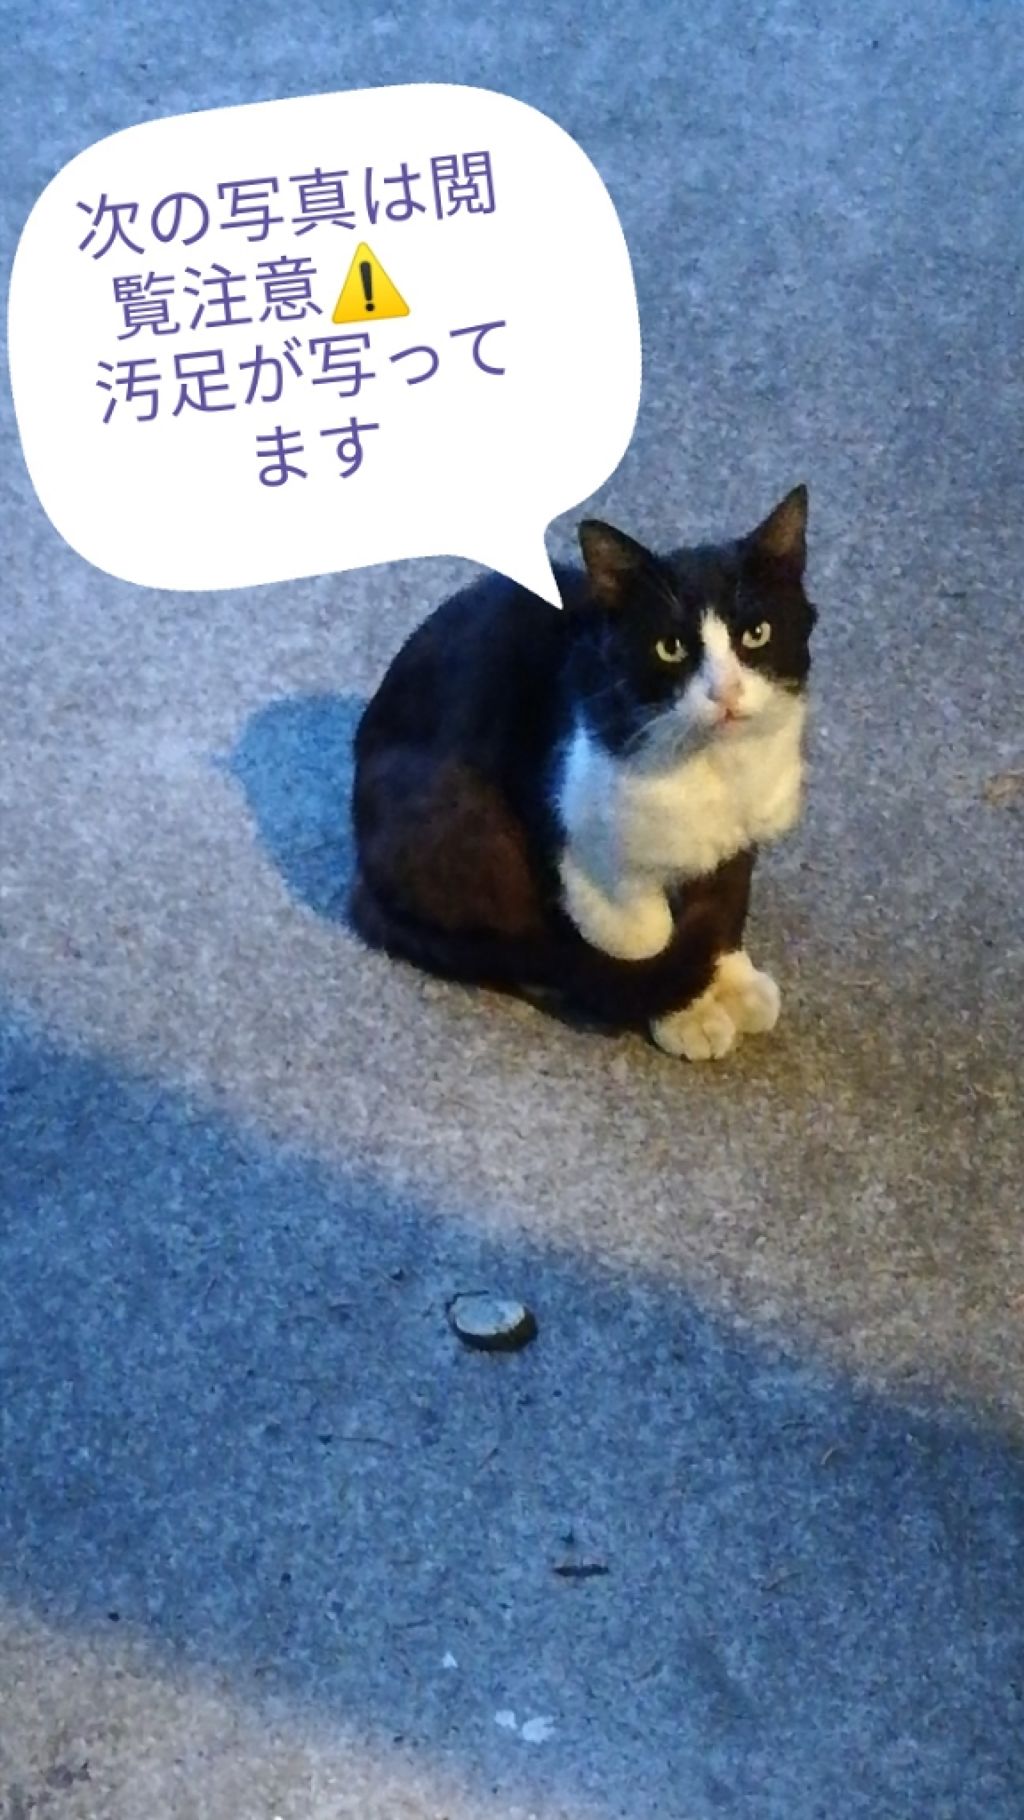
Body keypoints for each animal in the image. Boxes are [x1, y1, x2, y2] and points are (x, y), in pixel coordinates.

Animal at [350, 485, 817, 1061]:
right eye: (671, 648)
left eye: (757, 633)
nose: (725, 692)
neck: (716, 770)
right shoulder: (589, 848)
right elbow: (648, 938)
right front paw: (685, 1010)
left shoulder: (740, 839)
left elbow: (726, 905)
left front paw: (731, 980)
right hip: (460, 811)